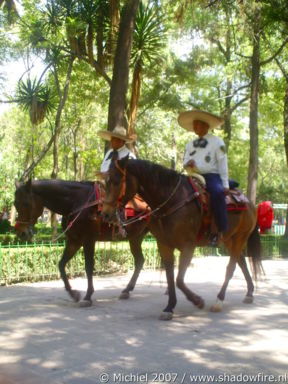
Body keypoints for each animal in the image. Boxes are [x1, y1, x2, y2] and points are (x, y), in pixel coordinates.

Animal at [14, 178, 151, 306]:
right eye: (15, 204)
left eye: (26, 203)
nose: (21, 233)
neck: (77, 202)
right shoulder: (74, 240)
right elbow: (61, 264)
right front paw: (73, 293)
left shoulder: (88, 240)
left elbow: (89, 267)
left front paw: (88, 296)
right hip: (135, 238)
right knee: (140, 260)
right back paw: (127, 290)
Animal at [101, 156, 264, 320]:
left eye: (116, 181)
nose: (105, 214)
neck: (171, 201)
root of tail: (250, 203)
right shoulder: (164, 245)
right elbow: (170, 275)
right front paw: (169, 306)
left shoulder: (188, 246)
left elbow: (179, 280)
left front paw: (197, 301)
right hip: (229, 239)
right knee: (242, 261)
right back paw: (249, 292)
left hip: (240, 237)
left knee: (231, 267)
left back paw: (219, 300)